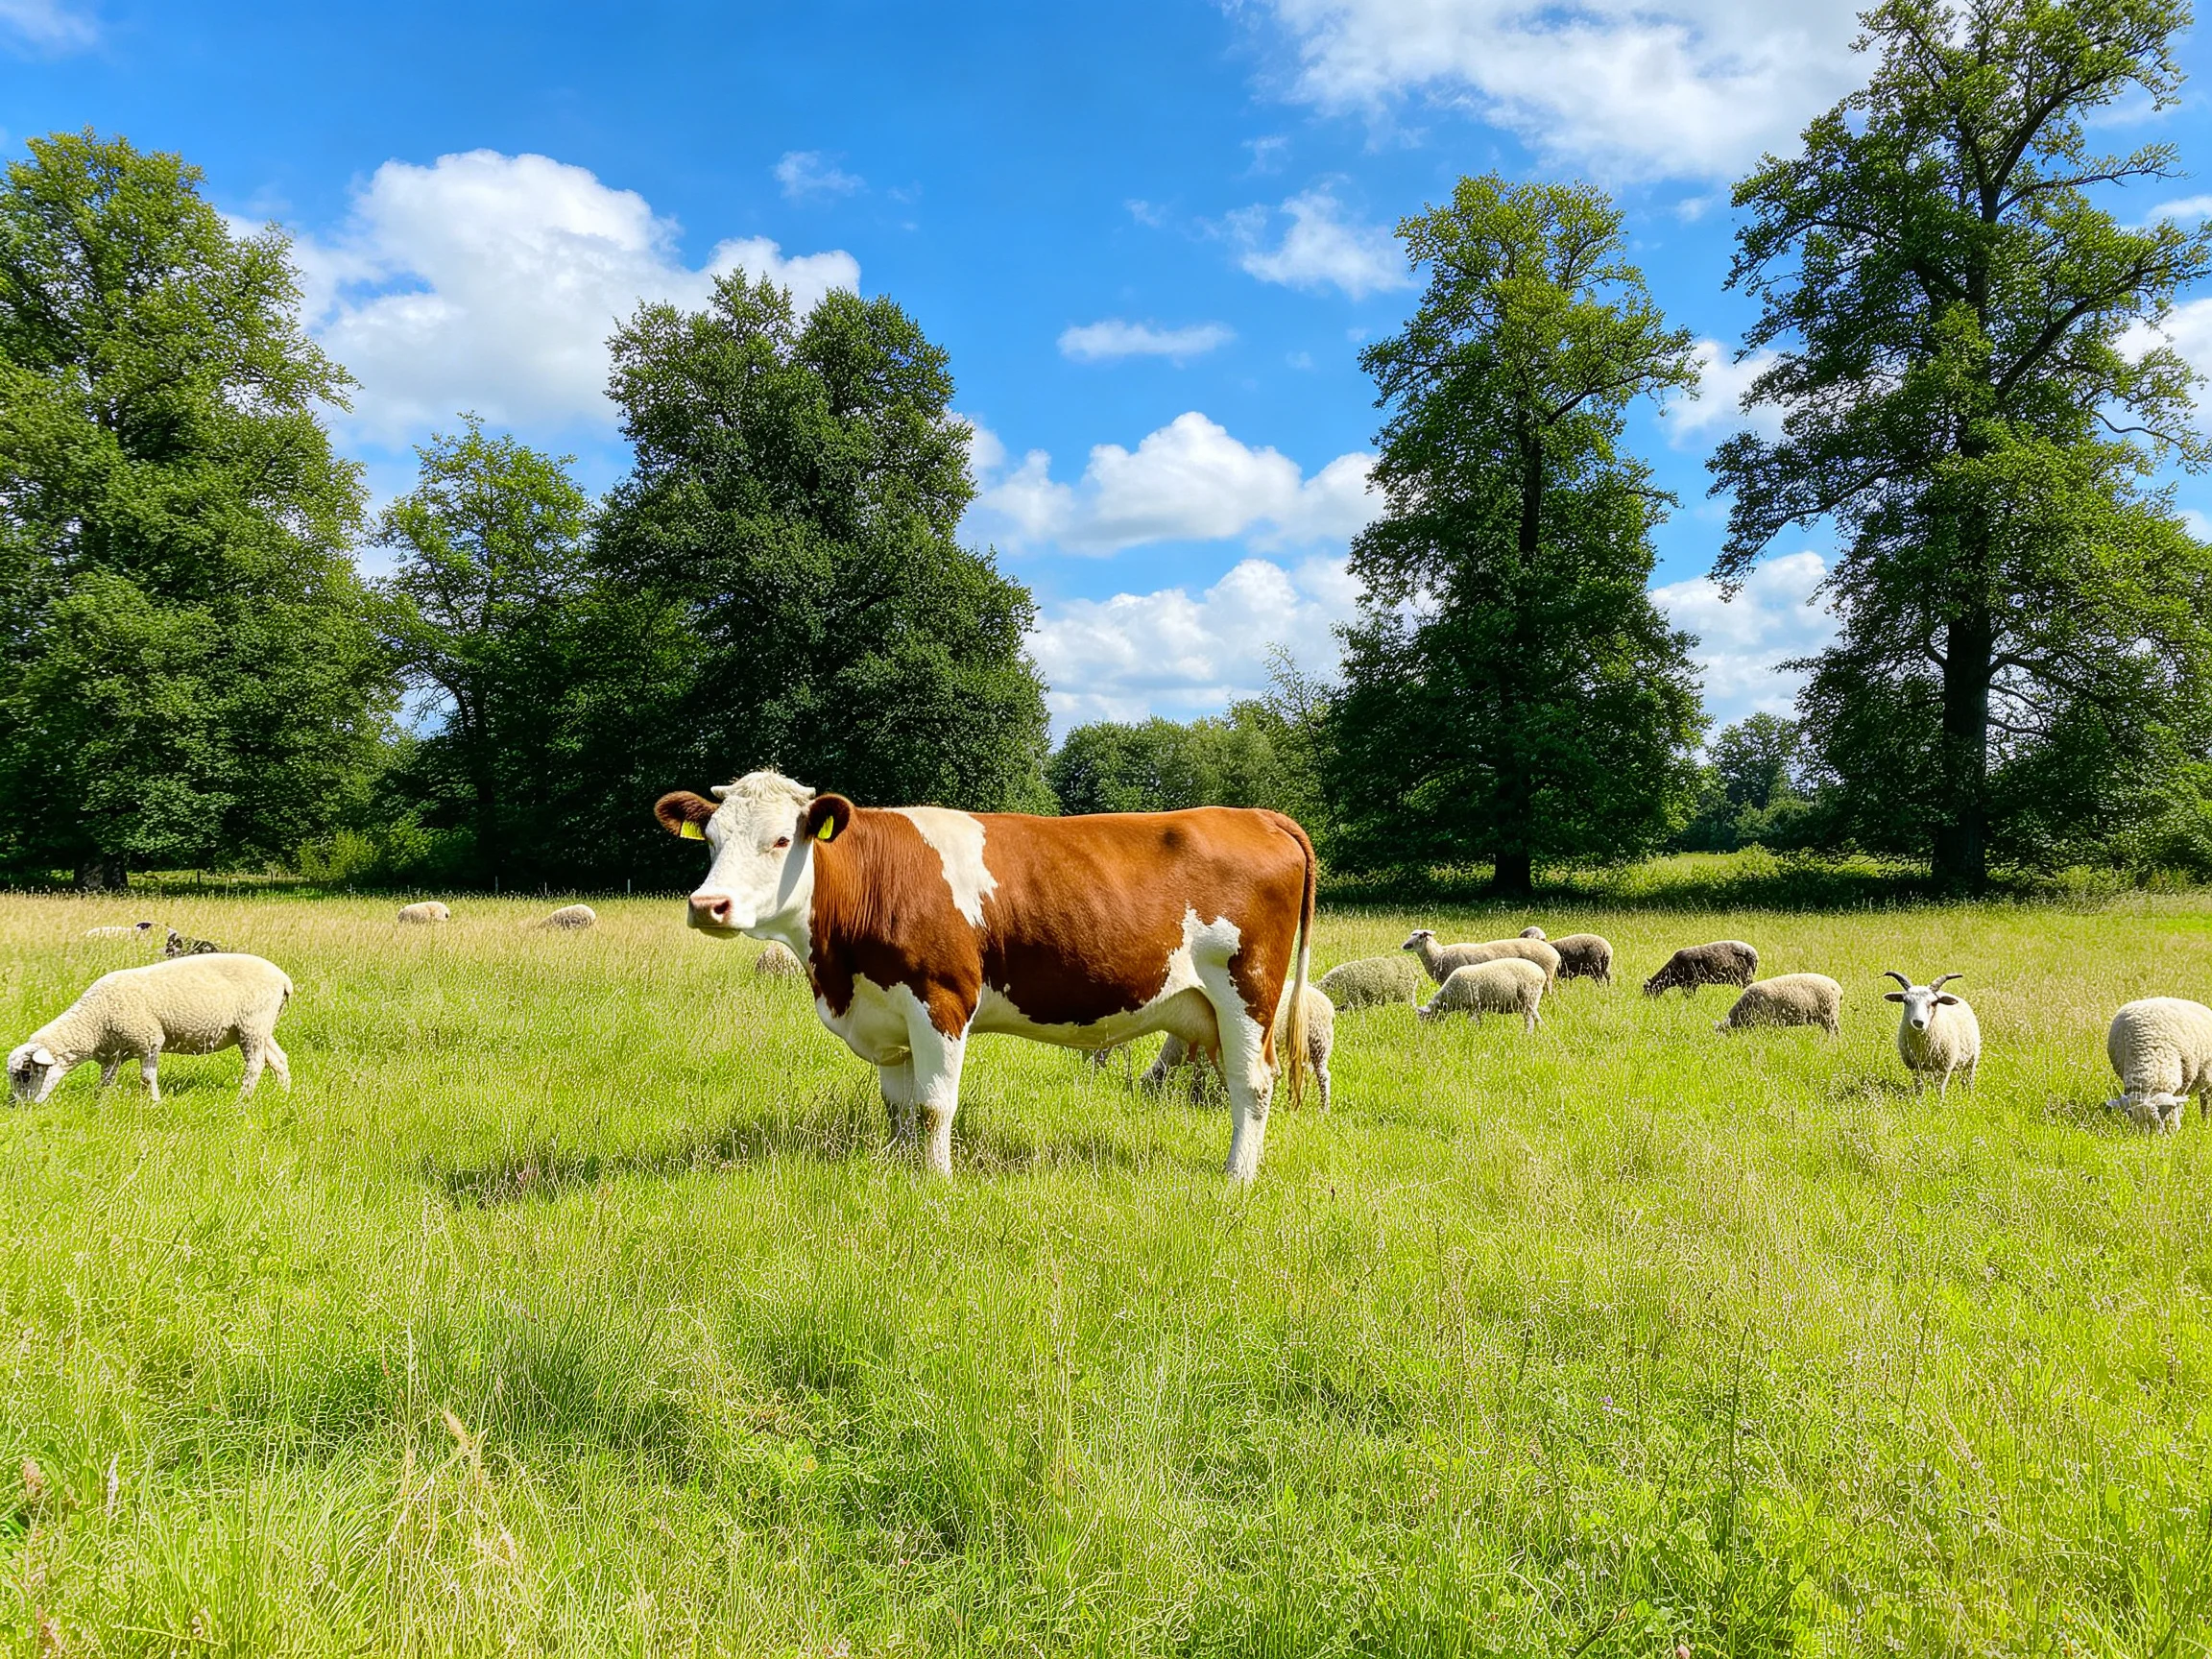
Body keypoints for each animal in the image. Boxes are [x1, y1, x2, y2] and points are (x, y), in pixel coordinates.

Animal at [7, 954, 294, 1106]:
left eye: (25, 1074)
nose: (17, 1106)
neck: (93, 1022)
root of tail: (283, 979)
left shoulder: (149, 1039)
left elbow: (147, 1076)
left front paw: (155, 1102)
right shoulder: (113, 1053)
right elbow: (107, 1080)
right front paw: (101, 1101)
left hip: (252, 1024)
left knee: (255, 1065)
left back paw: (242, 1099)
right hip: (261, 1028)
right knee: (278, 1059)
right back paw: (283, 1093)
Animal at [654, 771, 1316, 1181]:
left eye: (780, 839)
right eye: (709, 839)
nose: (707, 905)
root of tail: (1257, 815)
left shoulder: (941, 999)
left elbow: (933, 1105)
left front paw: (937, 1182)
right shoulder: (889, 1015)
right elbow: (898, 1109)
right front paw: (902, 1171)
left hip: (1248, 991)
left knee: (1253, 1084)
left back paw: (1236, 1178)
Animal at [1416, 957, 1548, 1032]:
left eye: (1426, 1018)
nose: (1424, 1032)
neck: (1449, 997)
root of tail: (1542, 974)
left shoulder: (1472, 1006)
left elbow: (1474, 1021)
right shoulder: (1476, 1008)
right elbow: (1478, 1022)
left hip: (1529, 999)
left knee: (1531, 1022)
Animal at [1883, 971, 1981, 1100]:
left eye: (1934, 1002)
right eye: (1906, 1001)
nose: (1918, 1022)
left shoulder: (1945, 1067)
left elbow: (1940, 1090)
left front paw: (1940, 1102)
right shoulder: (1915, 1066)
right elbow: (1919, 1087)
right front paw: (1919, 1101)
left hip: (1972, 1060)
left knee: (1967, 1080)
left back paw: (1968, 1097)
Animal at [2104, 997, 2212, 1133]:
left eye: (2161, 1115)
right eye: (2132, 1117)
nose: (2149, 1136)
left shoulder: (2184, 1083)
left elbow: (2177, 1106)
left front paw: (2175, 1127)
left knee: (2206, 1099)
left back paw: (2206, 1121)